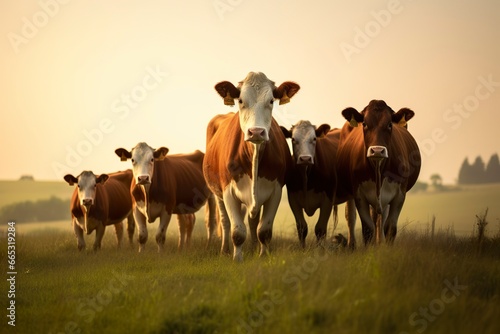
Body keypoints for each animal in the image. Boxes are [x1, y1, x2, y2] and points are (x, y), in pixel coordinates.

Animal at [202, 72, 298, 262]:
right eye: (240, 100)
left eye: (271, 101)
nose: (256, 132)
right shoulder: (228, 191)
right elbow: (237, 231)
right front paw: (237, 258)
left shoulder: (275, 191)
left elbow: (264, 230)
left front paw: (262, 254)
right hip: (217, 193)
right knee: (225, 221)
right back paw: (225, 250)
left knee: (253, 222)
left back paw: (253, 247)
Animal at [282, 120, 340, 248]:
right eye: (293, 139)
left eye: (314, 138)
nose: (305, 159)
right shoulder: (293, 199)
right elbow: (302, 228)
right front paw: (302, 249)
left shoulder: (328, 199)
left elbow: (320, 229)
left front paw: (320, 250)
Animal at [336, 99, 422, 245]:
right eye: (364, 124)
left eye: (389, 124)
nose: (377, 150)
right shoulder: (359, 194)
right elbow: (367, 229)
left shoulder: (399, 195)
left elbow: (390, 227)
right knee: (351, 217)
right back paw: (352, 245)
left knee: (379, 219)